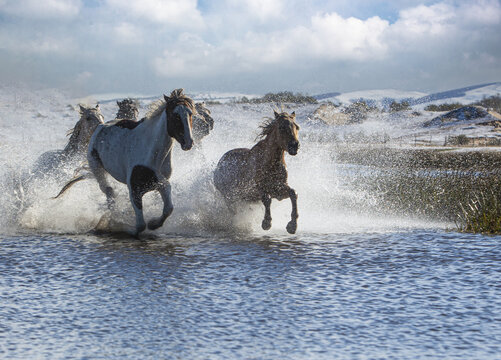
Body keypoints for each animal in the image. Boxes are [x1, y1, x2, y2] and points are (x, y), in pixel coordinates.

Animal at [54, 89, 195, 238]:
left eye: (190, 113)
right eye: (175, 115)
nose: (188, 142)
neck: (152, 151)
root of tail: (99, 126)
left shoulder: (160, 183)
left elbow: (168, 208)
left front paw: (153, 224)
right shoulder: (135, 190)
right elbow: (140, 225)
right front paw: (122, 226)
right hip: (97, 168)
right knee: (109, 192)